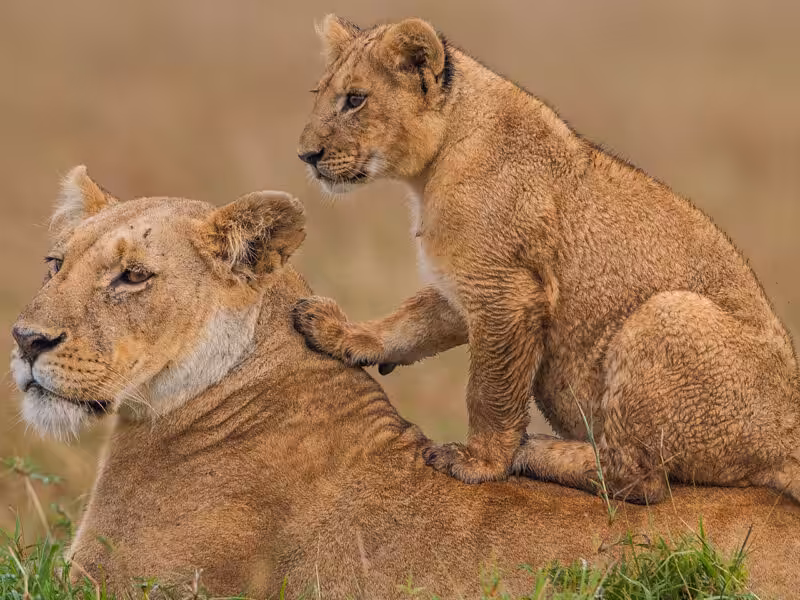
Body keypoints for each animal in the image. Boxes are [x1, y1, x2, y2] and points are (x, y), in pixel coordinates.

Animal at [294, 15, 800, 503]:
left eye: (355, 100)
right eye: (319, 95)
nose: (306, 155)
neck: (433, 168)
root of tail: (787, 442)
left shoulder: (507, 292)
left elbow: (489, 391)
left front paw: (479, 462)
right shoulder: (465, 284)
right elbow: (410, 322)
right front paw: (341, 333)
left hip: (668, 312)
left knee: (640, 480)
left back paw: (532, 450)